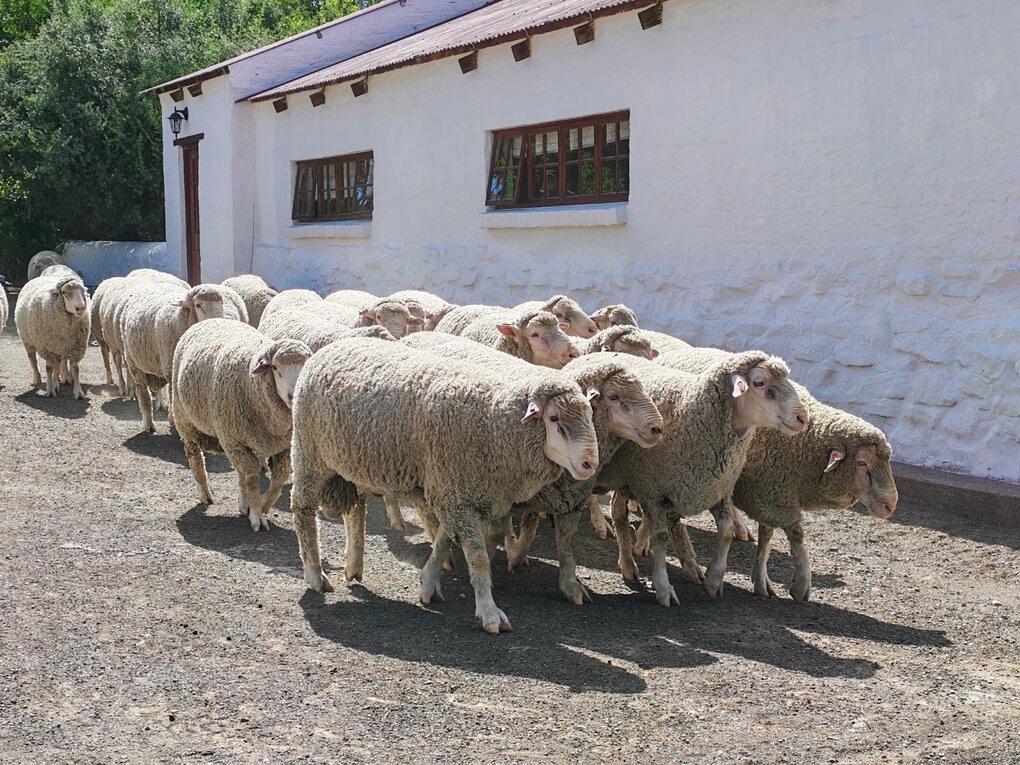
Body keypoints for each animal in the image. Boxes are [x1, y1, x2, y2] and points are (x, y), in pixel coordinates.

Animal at [14, 265, 90, 398]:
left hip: (59, 347)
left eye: (82, 291)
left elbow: (75, 369)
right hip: (28, 341)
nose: (80, 308)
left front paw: (78, 392)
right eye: (64, 292)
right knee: (33, 360)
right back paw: (38, 380)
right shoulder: (45, 347)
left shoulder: (76, 347)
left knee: (58, 364)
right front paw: (50, 390)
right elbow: (48, 368)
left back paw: (58, 381)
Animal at [120, 282, 236, 433]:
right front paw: (172, 419)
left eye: (221, 303)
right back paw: (148, 424)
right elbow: (171, 392)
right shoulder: (171, 366)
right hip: (134, 362)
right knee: (143, 392)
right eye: (198, 305)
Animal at [171, 319, 312, 531]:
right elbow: (252, 478)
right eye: (275, 368)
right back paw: (205, 493)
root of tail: (211, 319)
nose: (293, 396)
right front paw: (257, 515)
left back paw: (243, 502)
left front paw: (264, 505)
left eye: (305, 367)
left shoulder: (284, 445)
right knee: (195, 455)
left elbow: (279, 478)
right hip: (185, 419)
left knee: (240, 472)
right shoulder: (234, 441)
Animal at [289, 337, 600, 633]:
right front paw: (489, 613)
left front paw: (429, 583)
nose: (590, 464)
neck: (493, 421)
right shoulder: (454, 491)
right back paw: (315, 573)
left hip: (353, 461)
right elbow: (478, 559)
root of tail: (330, 347)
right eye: (554, 418)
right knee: (303, 510)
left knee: (356, 509)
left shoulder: (457, 492)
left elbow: (443, 539)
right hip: (309, 453)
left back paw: (353, 565)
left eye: (589, 415)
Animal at [595, 351, 808, 606]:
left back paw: (633, 563)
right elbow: (661, 537)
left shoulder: (715, 489)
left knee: (619, 510)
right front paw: (663, 587)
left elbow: (726, 530)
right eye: (760, 383)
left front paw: (713, 580)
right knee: (619, 512)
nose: (802, 417)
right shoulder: (653, 491)